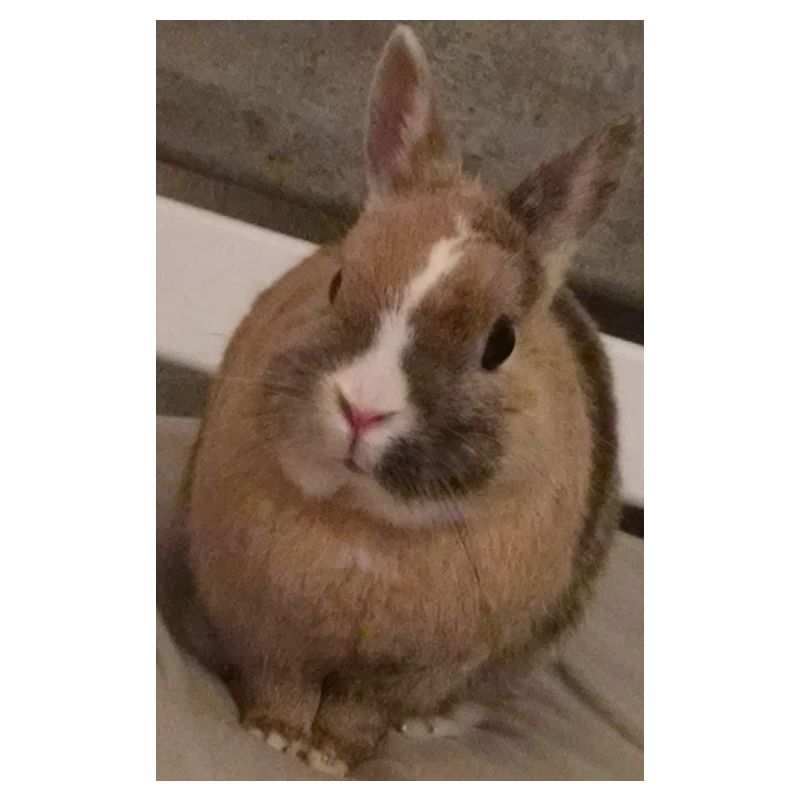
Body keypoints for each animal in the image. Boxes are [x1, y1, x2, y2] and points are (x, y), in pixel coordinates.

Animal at [180, 25, 634, 776]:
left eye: (501, 341)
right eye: (337, 281)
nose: (363, 410)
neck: (362, 522)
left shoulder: (411, 671)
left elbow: (361, 712)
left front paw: (331, 756)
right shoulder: (265, 632)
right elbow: (281, 684)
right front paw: (276, 736)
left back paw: (432, 727)